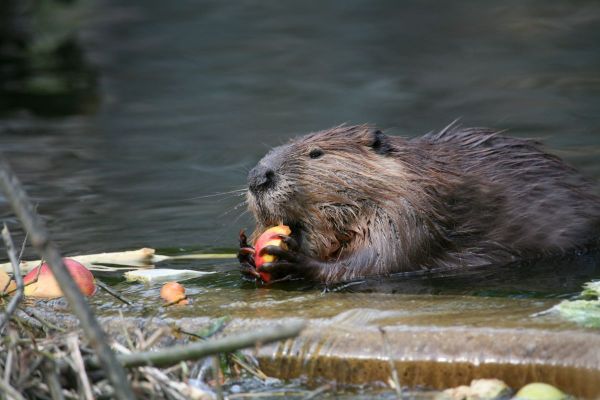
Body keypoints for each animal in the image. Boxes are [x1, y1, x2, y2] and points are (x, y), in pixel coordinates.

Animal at [238, 123, 600, 282]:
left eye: (316, 153)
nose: (258, 176)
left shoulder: (409, 211)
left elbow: (377, 262)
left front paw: (292, 261)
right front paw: (245, 254)